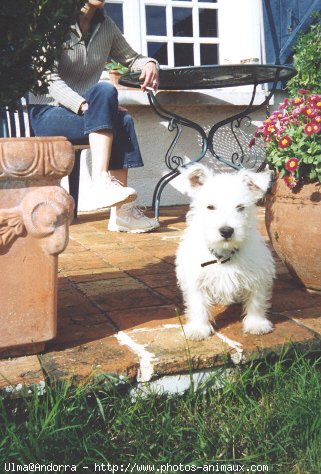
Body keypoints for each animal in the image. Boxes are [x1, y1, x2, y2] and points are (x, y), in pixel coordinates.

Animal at [175, 164, 276, 340]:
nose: (226, 231)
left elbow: (256, 301)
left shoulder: (257, 275)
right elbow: (198, 305)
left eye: (240, 207)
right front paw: (198, 329)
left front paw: (256, 324)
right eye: (210, 207)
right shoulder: (196, 279)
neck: (224, 254)